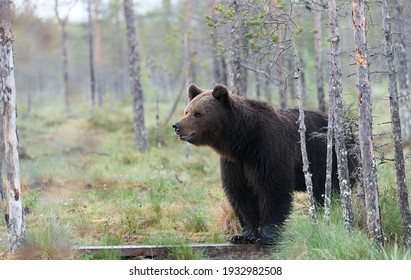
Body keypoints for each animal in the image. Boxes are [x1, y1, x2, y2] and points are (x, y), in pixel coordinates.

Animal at [174, 83, 354, 245]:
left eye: (198, 113)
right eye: (187, 111)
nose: (177, 126)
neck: (243, 141)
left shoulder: (267, 150)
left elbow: (272, 189)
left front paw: (265, 236)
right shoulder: (234, 163)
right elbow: (240, 193)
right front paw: (243, 235)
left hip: (332, 160)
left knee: (333, 191)